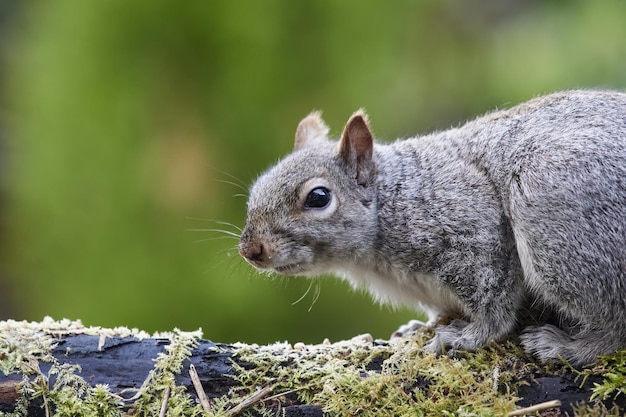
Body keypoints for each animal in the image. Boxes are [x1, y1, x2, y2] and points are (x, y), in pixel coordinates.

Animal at [239, 90, 624, 364]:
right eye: (255, 190)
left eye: (318, 197)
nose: (251, 250)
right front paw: (419, 326)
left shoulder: (470, 225)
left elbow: (494, 303)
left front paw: (469, 336)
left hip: (554, 216)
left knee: (614, 322)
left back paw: (568, 347)